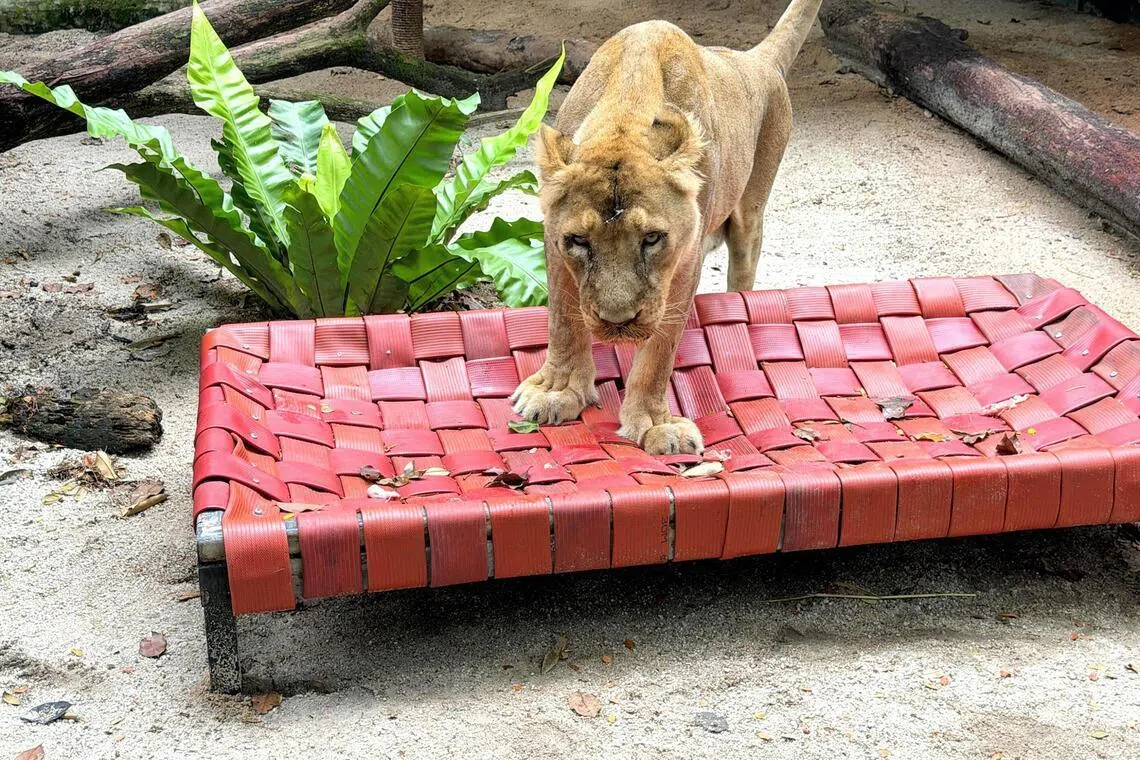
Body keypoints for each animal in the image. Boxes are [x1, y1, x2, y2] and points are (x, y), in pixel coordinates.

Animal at [511, 0, 823, 455]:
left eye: (652, 239)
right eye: (580, 241)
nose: (618, 321)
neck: (627, 109)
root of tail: (754, 60)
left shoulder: (684, 261)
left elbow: (660, 347)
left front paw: (656, 424)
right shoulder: (553, 245)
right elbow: (564, 319)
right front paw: (557, 391)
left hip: (750, 213)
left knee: (743, 270)